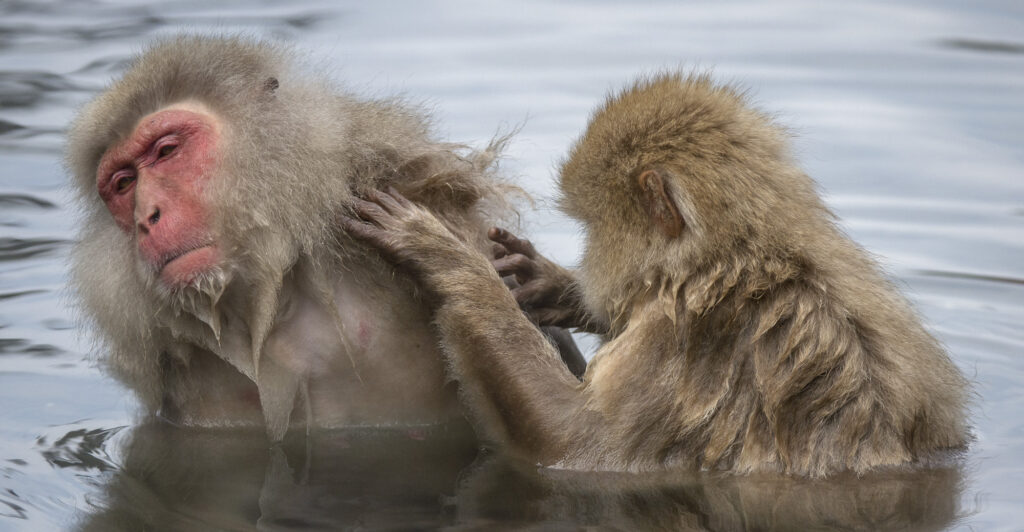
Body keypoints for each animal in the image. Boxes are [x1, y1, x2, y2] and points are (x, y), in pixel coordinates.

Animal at [343, 72, 970, 477]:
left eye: (592, 226)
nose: (589, 258)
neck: (735, 256)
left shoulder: (686, 334)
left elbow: (577, 444)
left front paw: (446, 259)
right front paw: (546, 281)